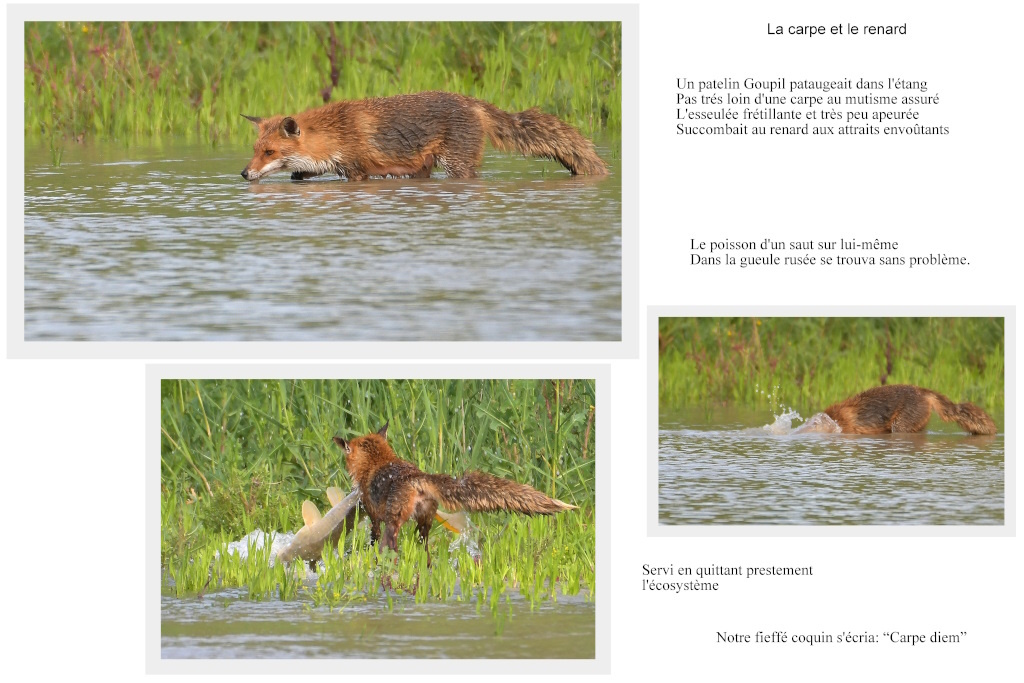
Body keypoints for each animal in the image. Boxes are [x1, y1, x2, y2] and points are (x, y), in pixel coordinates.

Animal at [331, 421, 576, 555]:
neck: (377, 463)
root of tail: (416, 477)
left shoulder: (374, 515)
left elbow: (372, 536)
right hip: (425, 522)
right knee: (423, 546)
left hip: (395, 522)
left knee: (391, 545)